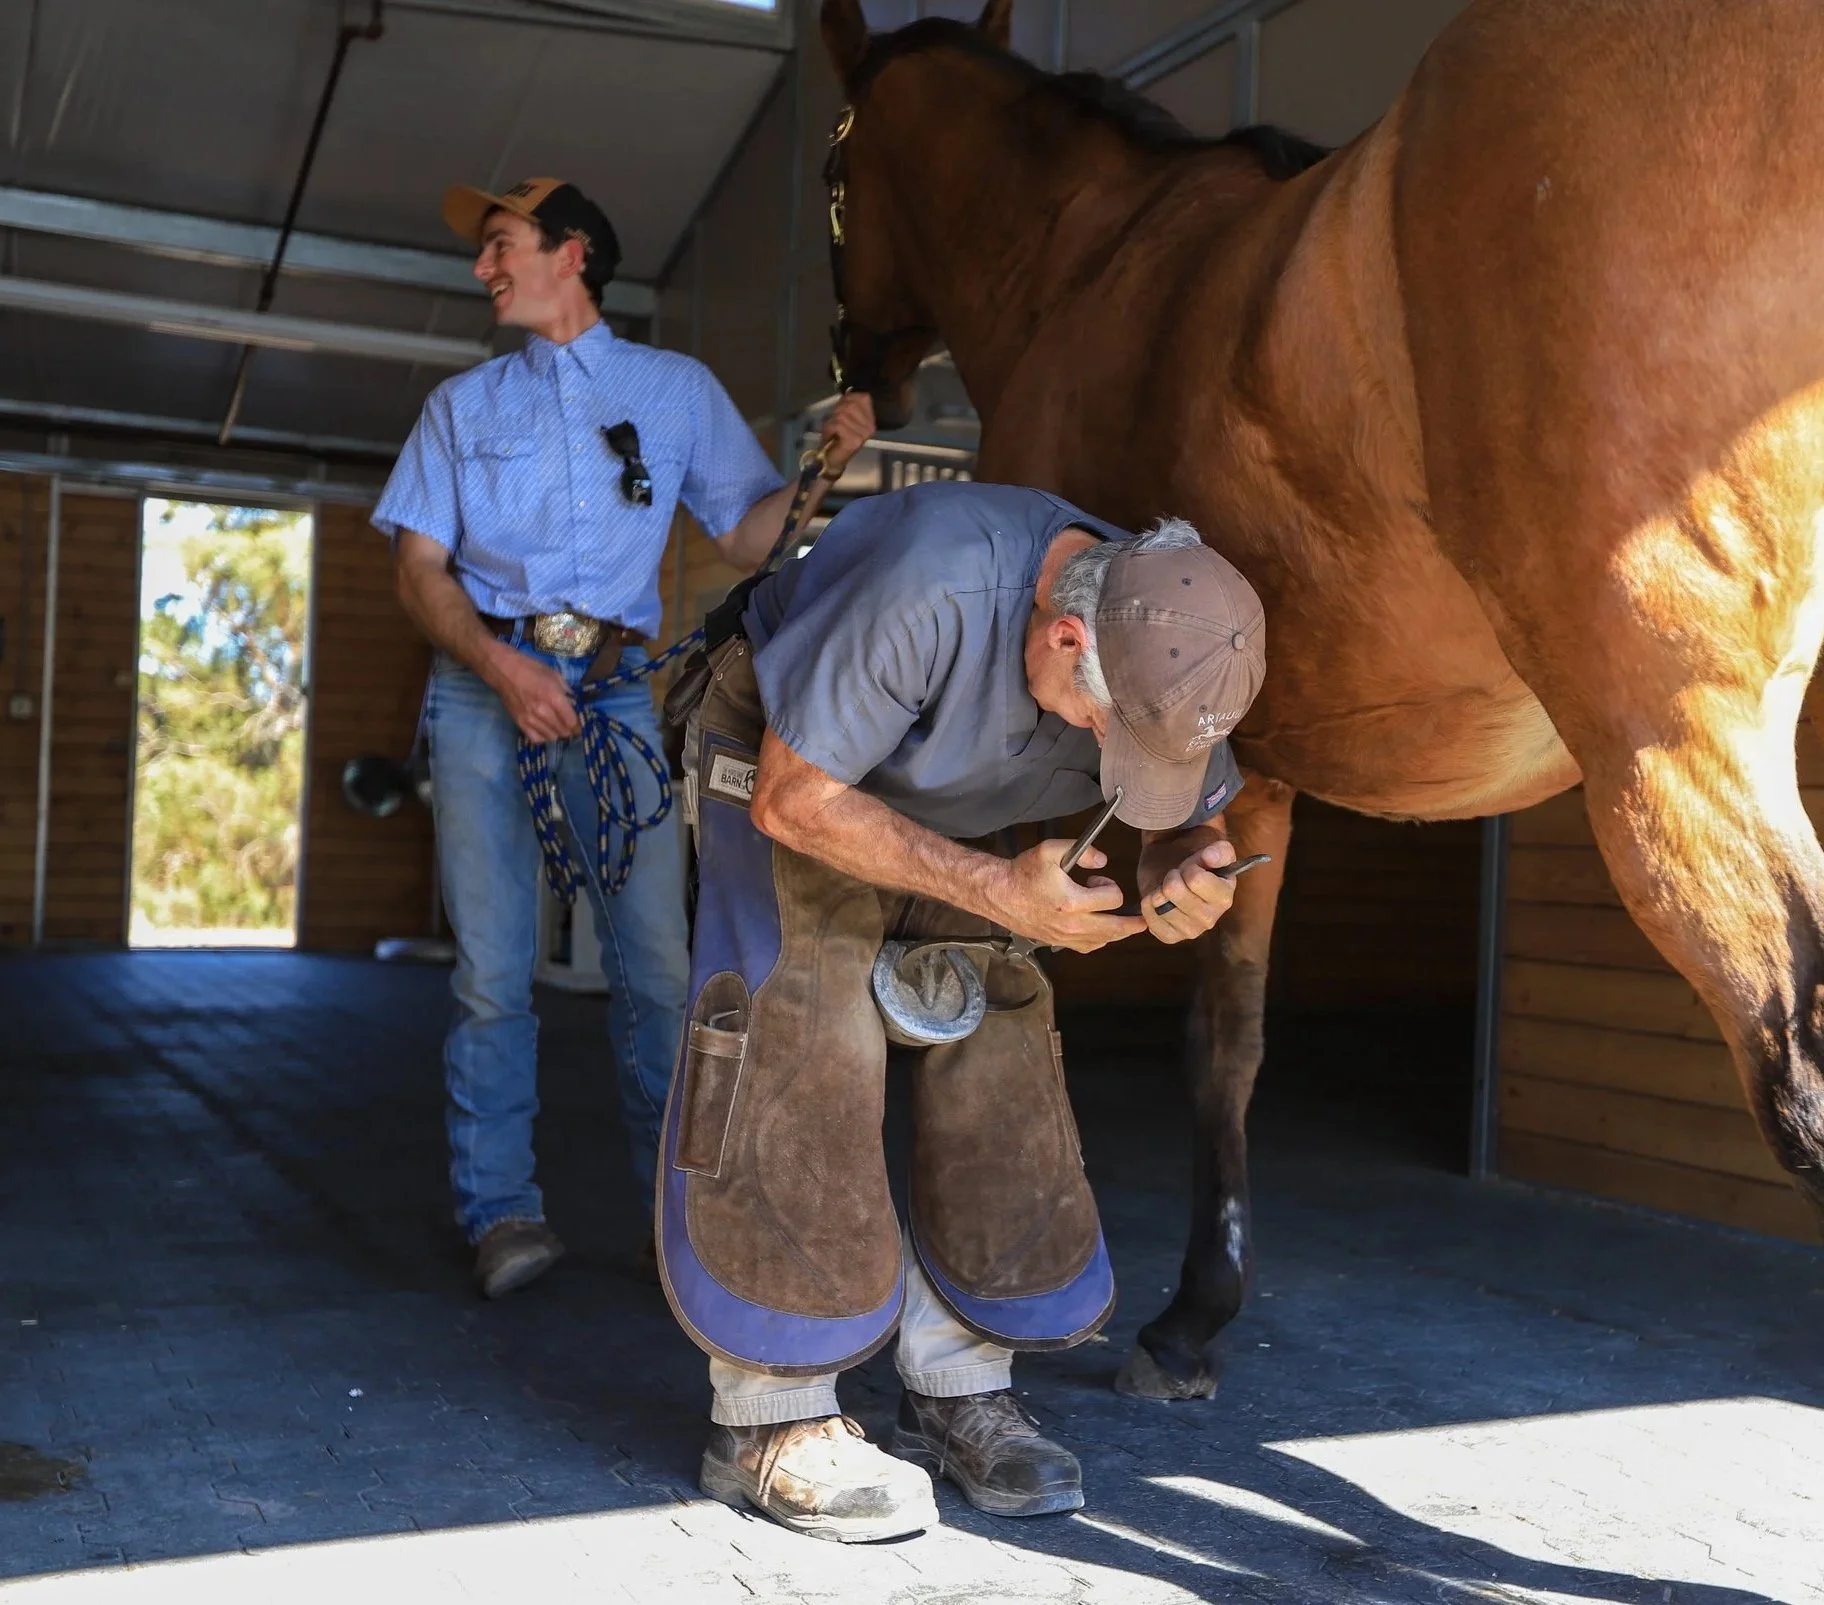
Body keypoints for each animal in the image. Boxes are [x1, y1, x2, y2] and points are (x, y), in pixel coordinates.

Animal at [816, 0, 1824, 1401]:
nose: (859, 370)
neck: (1089, 258)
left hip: (1672, 761)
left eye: (834, 170)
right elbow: (1227, 1039)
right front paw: (1197, 1314)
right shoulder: (1255, 778)